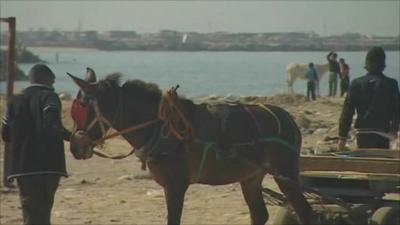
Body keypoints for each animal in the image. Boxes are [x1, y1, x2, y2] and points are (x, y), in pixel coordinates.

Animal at [68, 68, 312, 225]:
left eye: (82, 107)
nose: (75, 147)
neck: (159, 126)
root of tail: (289, 119)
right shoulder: (169, 186)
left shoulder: (176, 185)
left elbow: (173, 220)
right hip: (251, 176)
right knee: (260, 215)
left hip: (285, 173)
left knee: (305, 212)